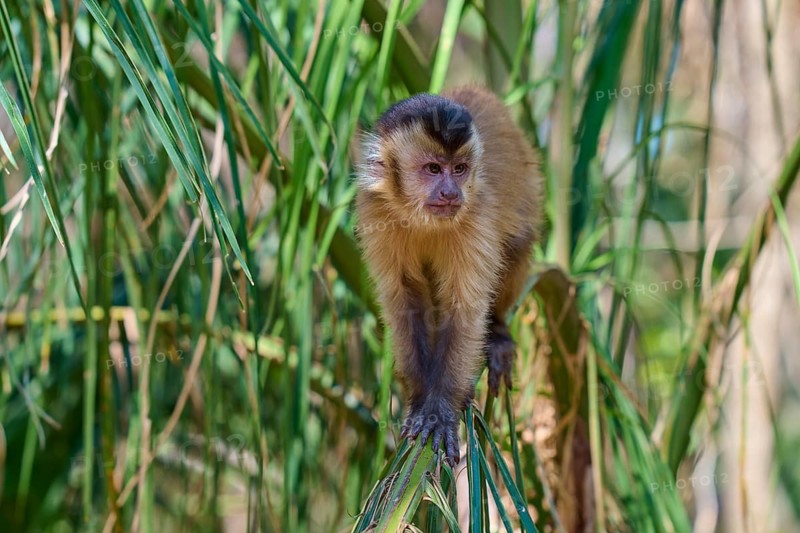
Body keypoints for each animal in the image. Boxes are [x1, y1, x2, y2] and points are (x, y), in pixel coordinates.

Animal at [355, 86, 542, 465]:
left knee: (517, 243)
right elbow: (404, 301)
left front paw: (440, 410)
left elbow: (464, 312)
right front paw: (419, 400)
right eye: (432, 169)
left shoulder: (476, 215)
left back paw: (498, 333)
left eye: (459, 169)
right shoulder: (374, 209)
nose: (450, 192)